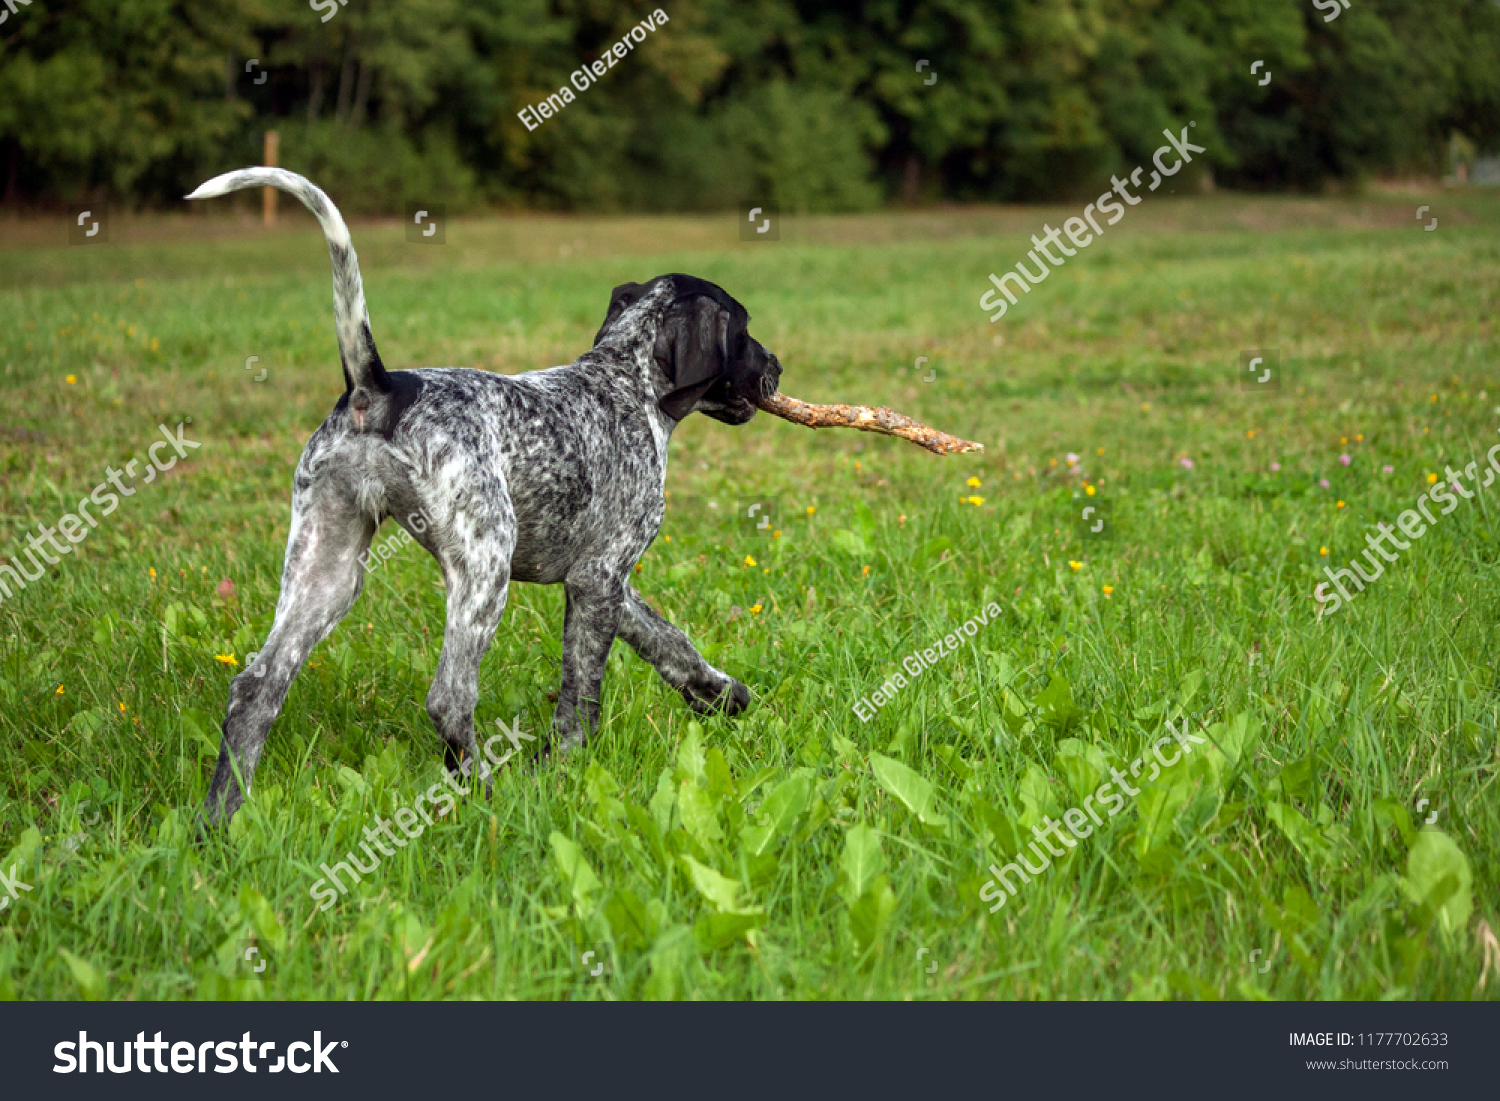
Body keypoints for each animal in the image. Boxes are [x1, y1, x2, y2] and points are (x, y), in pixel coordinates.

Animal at [184, 168, 786, 828]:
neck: (624, 383)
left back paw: (218, 820)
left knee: (256, 688)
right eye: (745, 331)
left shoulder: (604, 581)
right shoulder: (598, 577)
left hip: (327, 570)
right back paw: (486, 796)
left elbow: (667, 639)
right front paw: (562, 769)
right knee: (450, 699)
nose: (778, 366)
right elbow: (581, 693)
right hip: (484, 566)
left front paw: (719, 694)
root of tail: (378, 387)